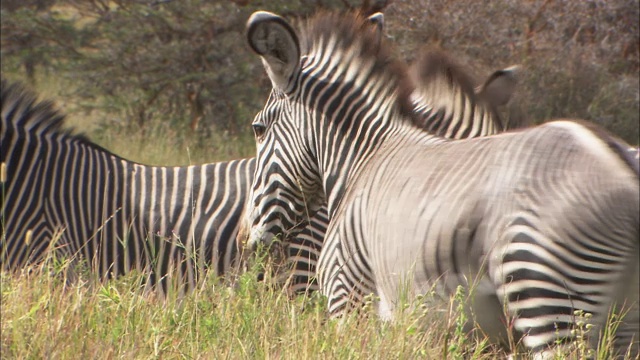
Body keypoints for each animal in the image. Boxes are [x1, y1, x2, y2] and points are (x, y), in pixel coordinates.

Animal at [241, 11, 640, 358]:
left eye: (258, 129)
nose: (249, 239)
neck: (362, 159)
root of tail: (619, 162)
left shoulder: (350, 300)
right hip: (622, 323)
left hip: (548, 299)